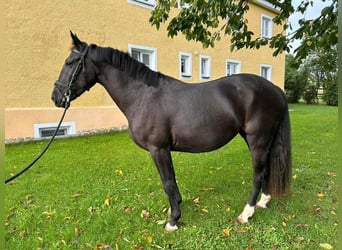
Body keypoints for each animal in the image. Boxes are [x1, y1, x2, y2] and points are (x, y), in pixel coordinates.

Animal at [51, 32, 292, 231]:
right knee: (266, 169)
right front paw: (175, 210)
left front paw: (173, 220)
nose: (56, 97)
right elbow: (171, 182)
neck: (143, 96)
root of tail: (276, 90)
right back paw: (263, 202)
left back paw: (246, 213)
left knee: (258, 174)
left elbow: (167, 182)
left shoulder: (158, 149)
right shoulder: (163, 150)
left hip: (257, 140)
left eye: (70, 62)